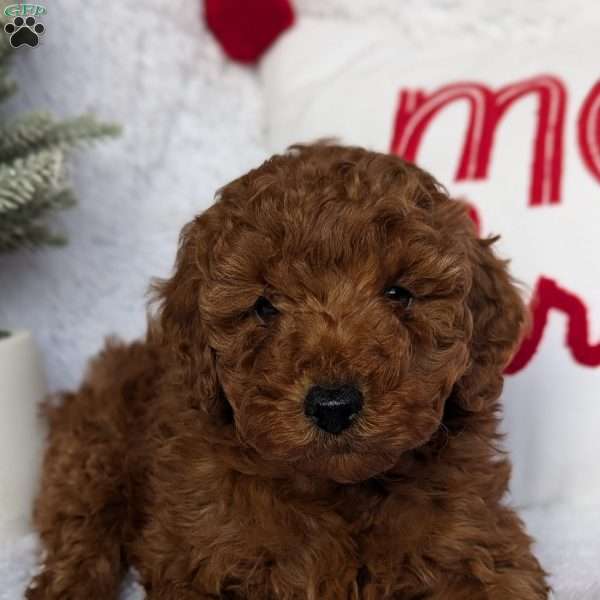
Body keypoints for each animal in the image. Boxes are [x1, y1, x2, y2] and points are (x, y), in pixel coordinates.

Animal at [27, 145, 548, 600]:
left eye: (399, 294)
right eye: (263, 306)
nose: (333, 405)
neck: (338, 490)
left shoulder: (475, 542)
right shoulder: (197, 554)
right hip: (93, 451)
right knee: (84, 531)